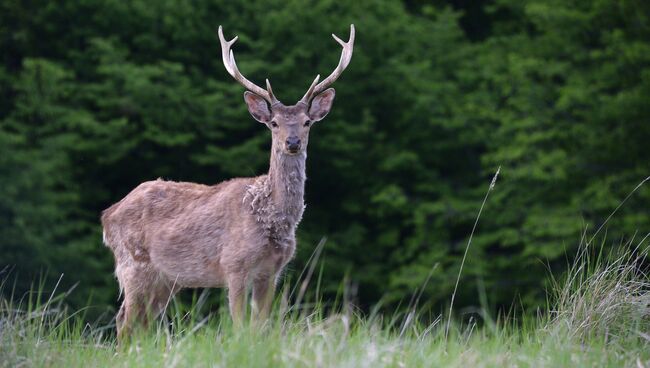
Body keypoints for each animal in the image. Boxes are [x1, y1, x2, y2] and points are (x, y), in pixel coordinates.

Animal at [101, 23, 354, 340]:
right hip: (133, 263)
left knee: (141, 323)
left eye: (307, 122)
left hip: (165, 279)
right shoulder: (234, 265)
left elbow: (261, 327)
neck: (270, 216)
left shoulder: (272, 272)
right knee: (124, 321)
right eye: (274, 123)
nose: (293, 142)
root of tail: (107, 215)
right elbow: (239, 326)